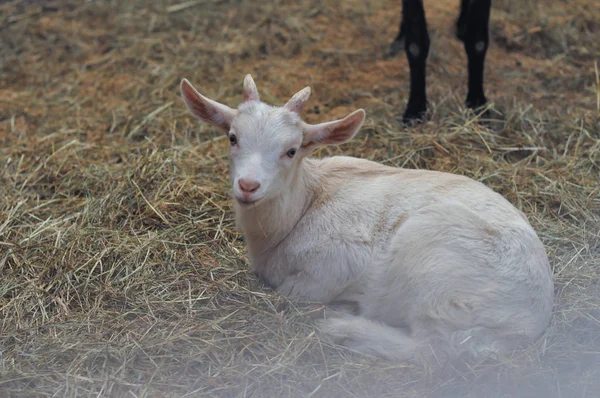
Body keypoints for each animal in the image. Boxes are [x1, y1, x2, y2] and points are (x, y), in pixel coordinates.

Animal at [180, 75, 556, 364]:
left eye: (291, 150)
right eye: (232, 138)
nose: (248, 186)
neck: (302, 209)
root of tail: (530, 319)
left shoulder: (335, 263)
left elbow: (291, 295)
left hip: (434, 267)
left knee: (431, 348)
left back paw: (343, 327)